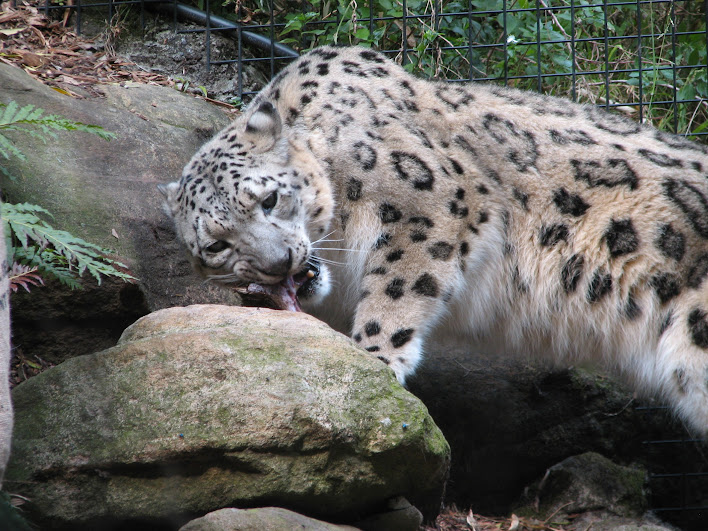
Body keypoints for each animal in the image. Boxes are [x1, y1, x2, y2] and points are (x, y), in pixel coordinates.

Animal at [159, 45, 708, 436]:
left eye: (269, 198)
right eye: (216, 246)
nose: (278, 263)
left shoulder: (434, 201)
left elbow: (398, 288)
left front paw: (375, 367)